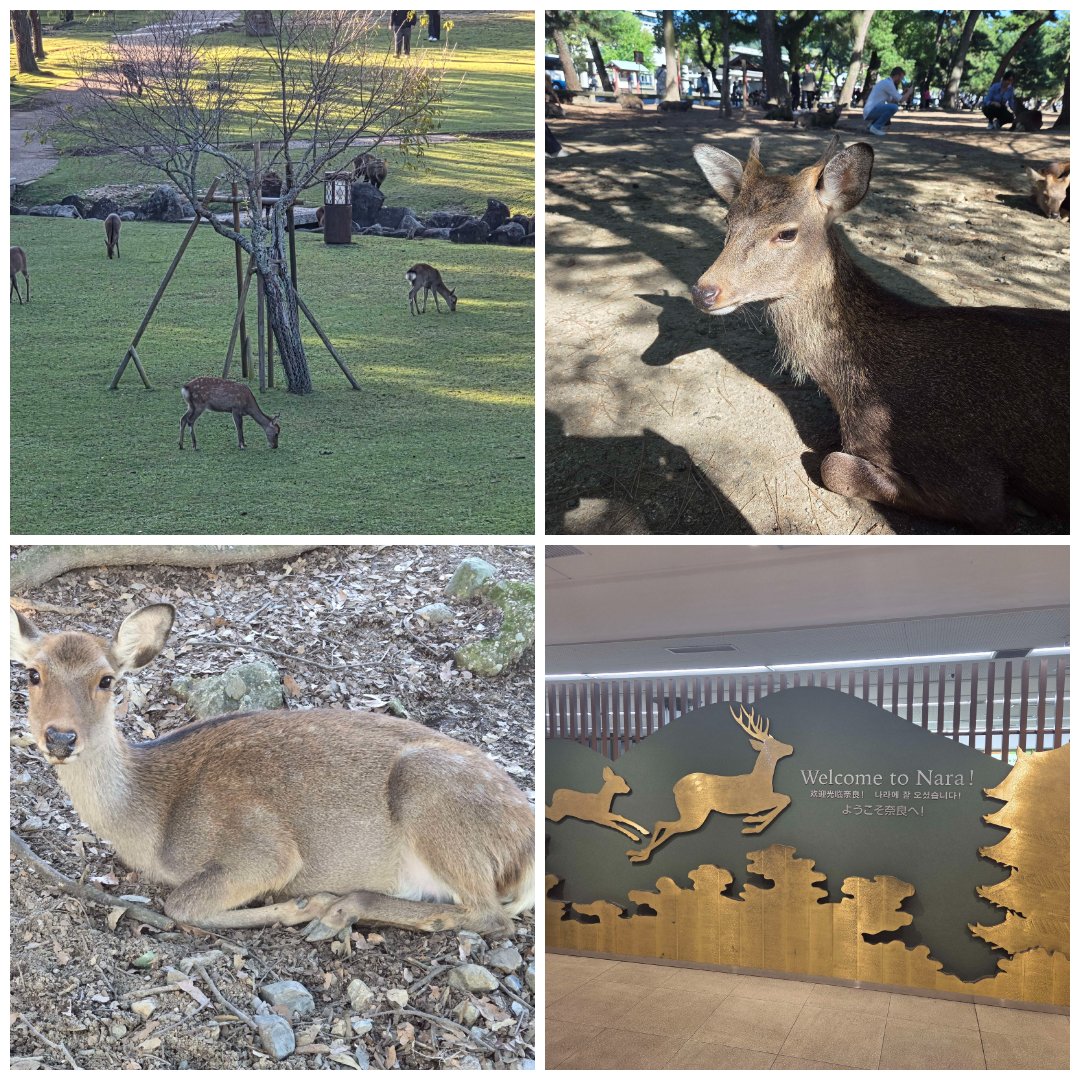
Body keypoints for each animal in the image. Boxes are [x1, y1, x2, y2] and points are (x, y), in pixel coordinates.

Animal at [9, 604, 535, 937]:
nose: (60, 738)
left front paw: (305, 904)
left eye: (106, 680)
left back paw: (339, 910)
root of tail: (524, 847)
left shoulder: (264, 846)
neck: (151, 825)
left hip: (431, 796)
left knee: (492, 916)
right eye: (33, 674)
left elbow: (181, 904)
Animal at [627, 706, 793, 864]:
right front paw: (753, 825)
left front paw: (754, 820)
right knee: (667, 826)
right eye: (775, 745)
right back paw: (641, 855)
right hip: (695, 814)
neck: (763, 780)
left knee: (661, 824)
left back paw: (638, 853)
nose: (791, 747)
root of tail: (676, 788)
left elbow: (784, 799)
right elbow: (785, 799)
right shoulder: (757, 802)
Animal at [690, 137, 1068, 529]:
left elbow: (831, 465)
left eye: (787, 232)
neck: (850, 390)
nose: (704, 291)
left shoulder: (973, 477)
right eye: (728, 220)